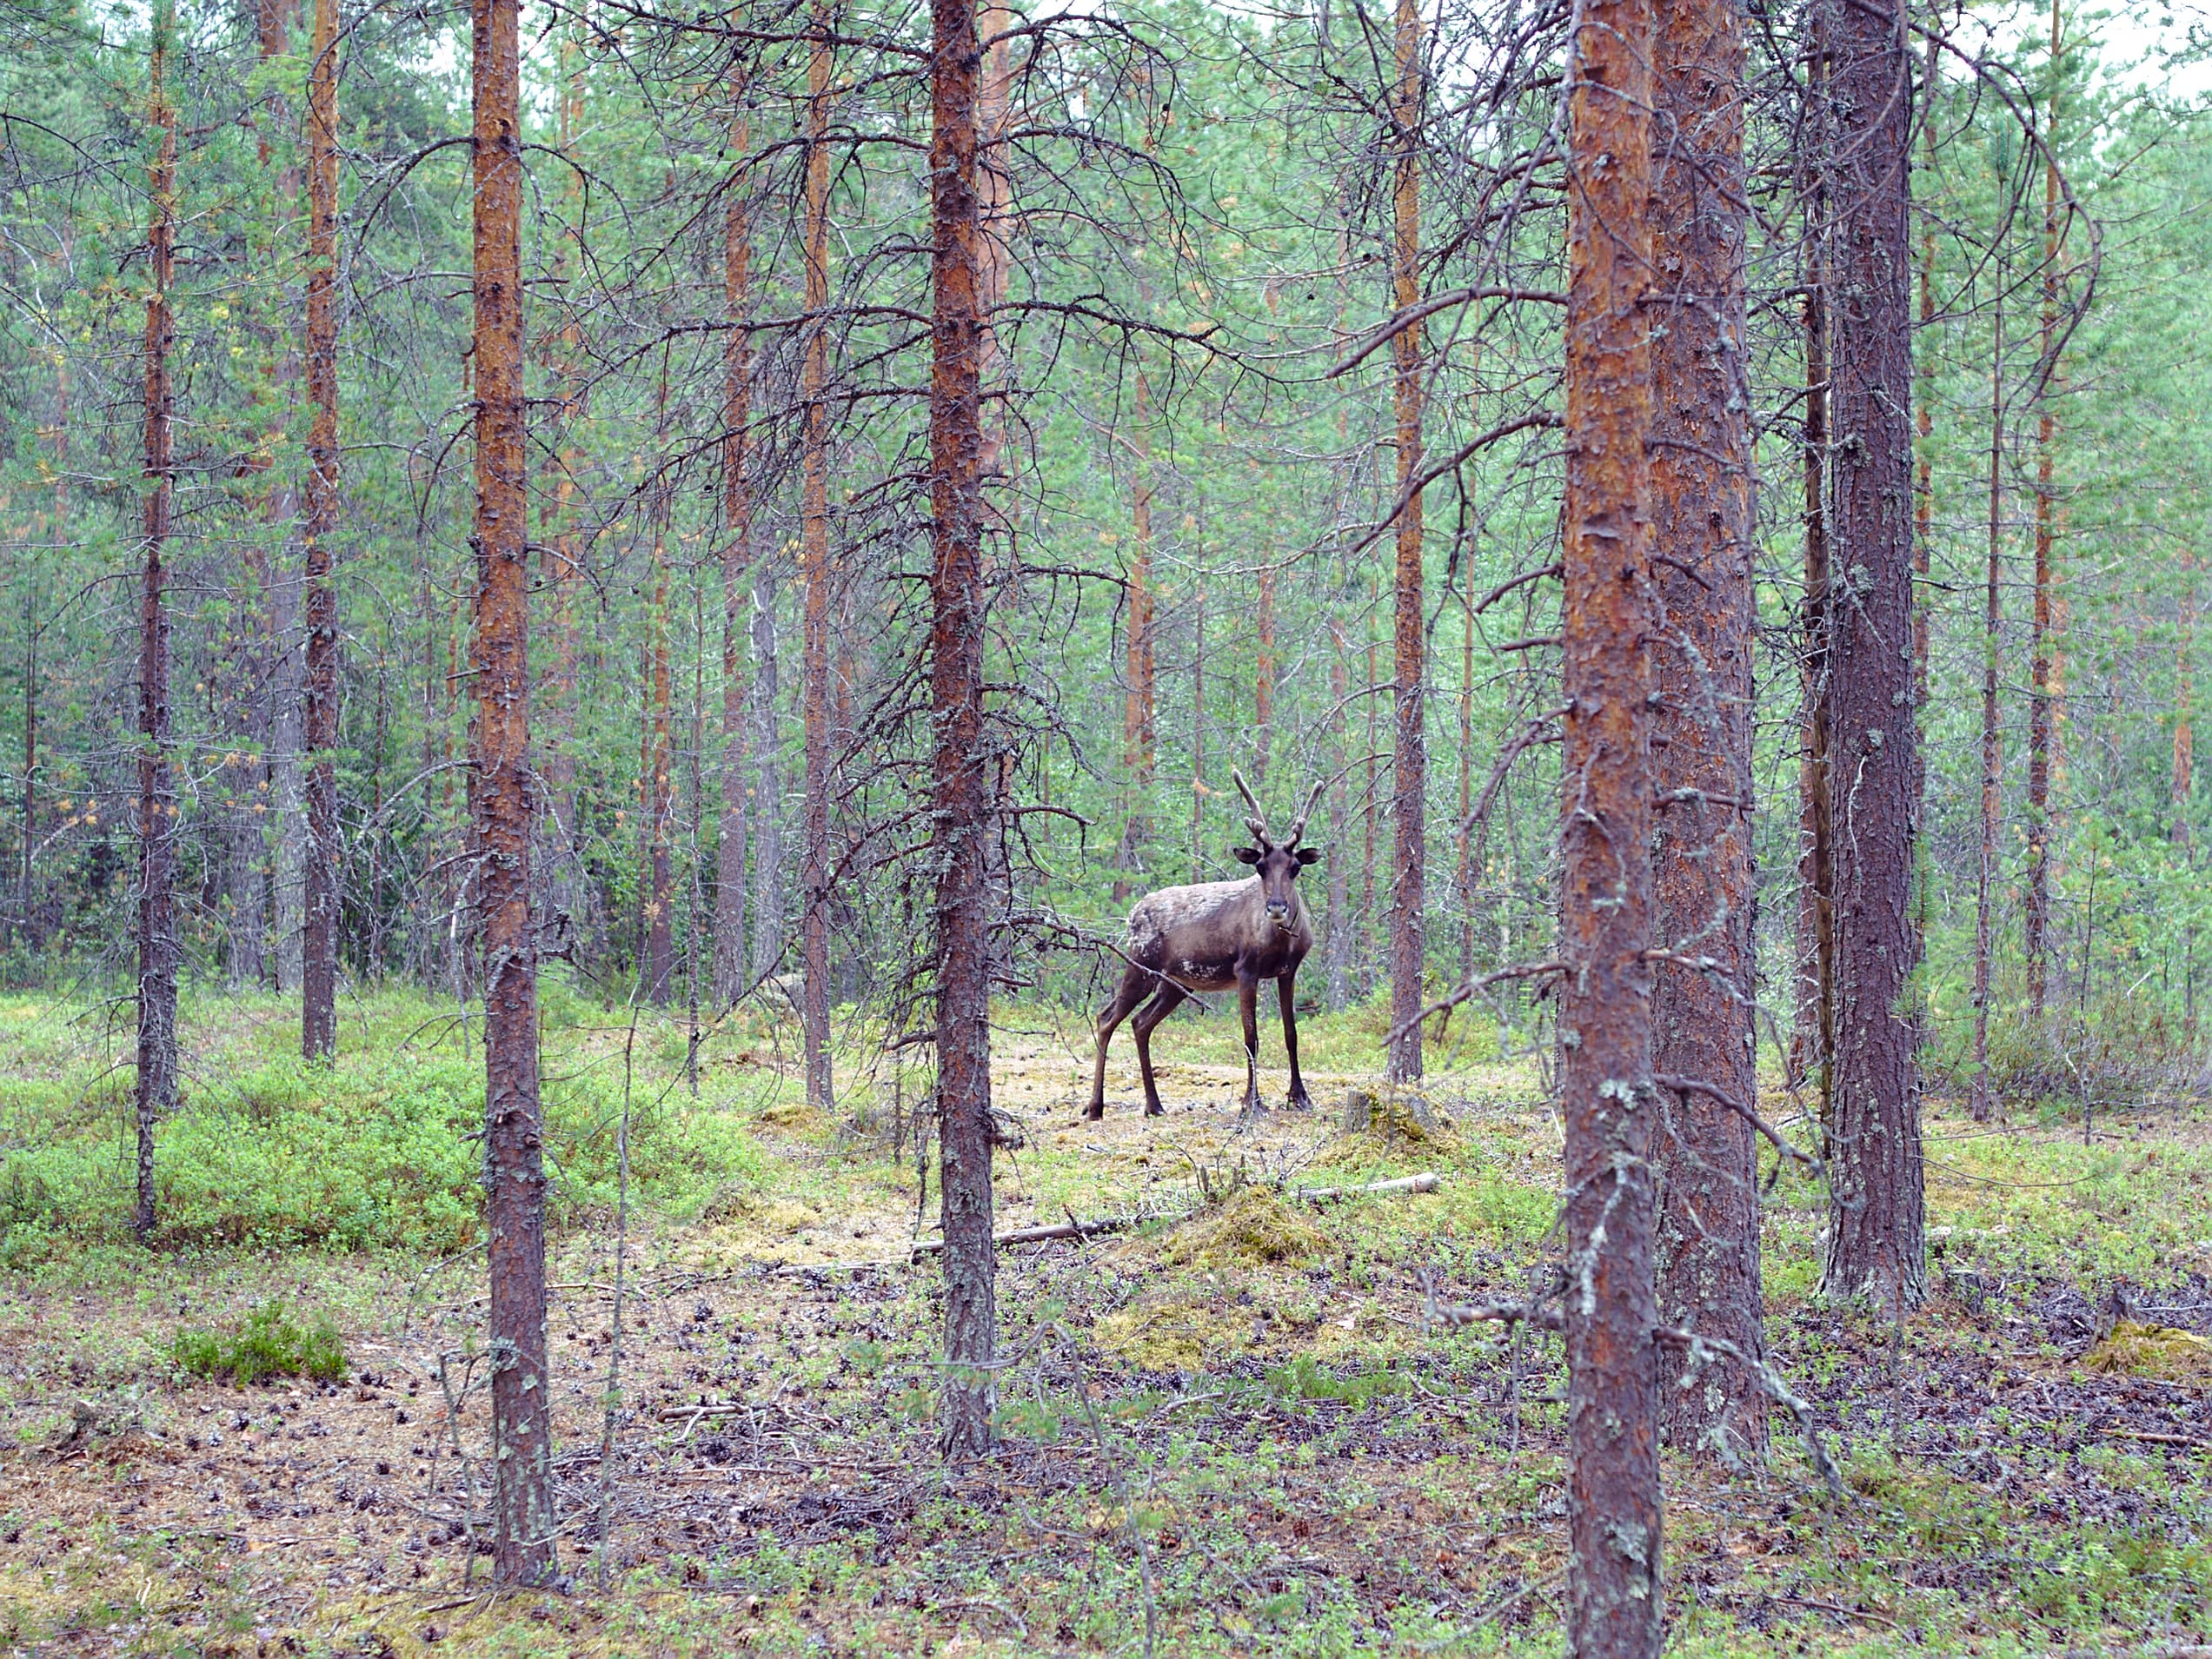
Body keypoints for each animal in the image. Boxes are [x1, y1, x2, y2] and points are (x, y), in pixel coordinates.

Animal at [1088, 770, 1325, 1119]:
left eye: (1295, 868)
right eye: (1260, 868)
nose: (1277, 907)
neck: (1280, 942)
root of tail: (1132, 913)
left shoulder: (1288, 971)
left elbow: (1291, 1034)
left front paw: (1299, 1097)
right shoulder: (1246, 969)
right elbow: (1251, 1038)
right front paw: (1251, 1103)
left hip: (1175, 983)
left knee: (1140, 1022)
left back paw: (1154, 1104)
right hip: (1140, 965)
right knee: (1106, 1018)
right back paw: (1095, 1106)